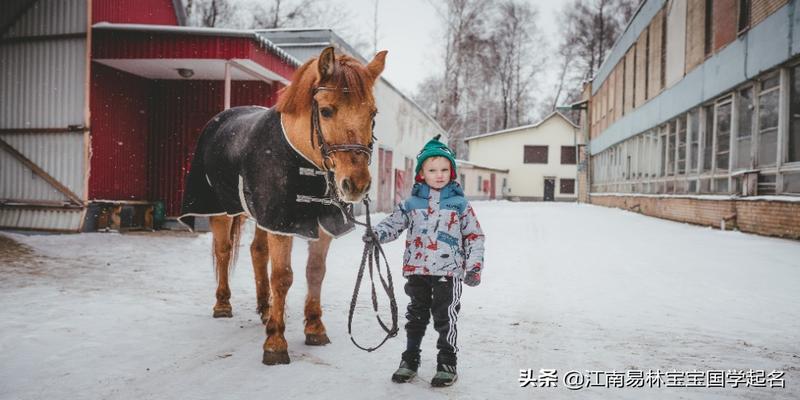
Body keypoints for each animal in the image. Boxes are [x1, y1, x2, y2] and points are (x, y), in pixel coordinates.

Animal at [180, 47, 386, 366]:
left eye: (372, 113)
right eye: (326, 111)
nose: (356, 184)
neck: (303, 156)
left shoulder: (317, 224)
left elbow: (315, 272)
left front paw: (315, 328)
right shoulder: (281, 224)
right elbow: (282, 277)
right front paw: (275, 343)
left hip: (260, 216)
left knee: (257, 251)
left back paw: (265, 309)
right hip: (222, 210)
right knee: (224, 251)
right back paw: (223, 304)